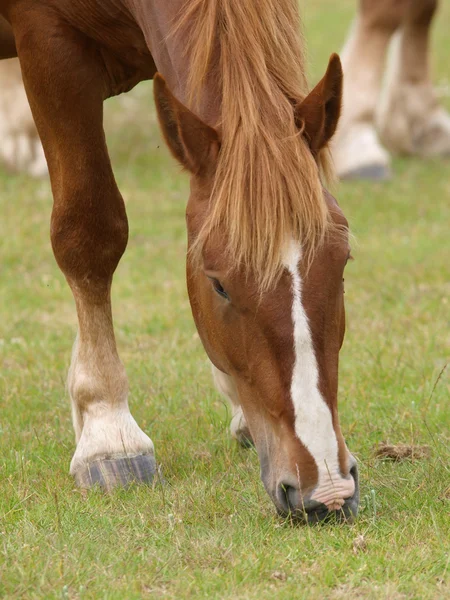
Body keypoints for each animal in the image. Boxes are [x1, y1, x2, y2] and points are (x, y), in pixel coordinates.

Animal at [0, 0, 358, 524]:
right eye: (220, 284)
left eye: (343, 260)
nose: (326, 488)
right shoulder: (50, 46)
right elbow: (89, 231)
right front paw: (107, 429)